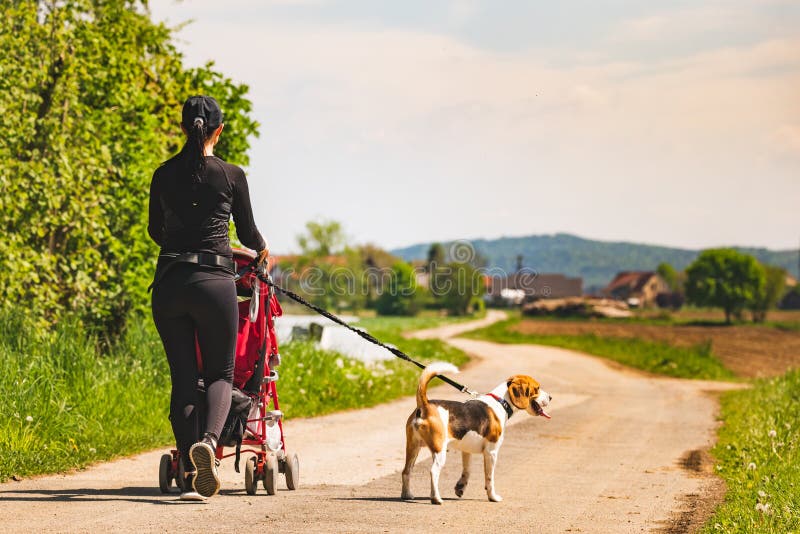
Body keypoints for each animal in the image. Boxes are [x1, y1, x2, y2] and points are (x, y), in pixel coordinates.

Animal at [400, 362, 552, 504]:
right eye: (537, 388)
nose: (550, 397)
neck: (501, 402)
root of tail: (425, 405)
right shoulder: (491, 452)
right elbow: (490, 479)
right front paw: (493, 497)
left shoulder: (466, 450)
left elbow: (467, 471)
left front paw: (460, 487)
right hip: (439, 450)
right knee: (433, 472)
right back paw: (436, 498)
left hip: (413, 447)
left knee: (406, 471)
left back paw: (407, 495)